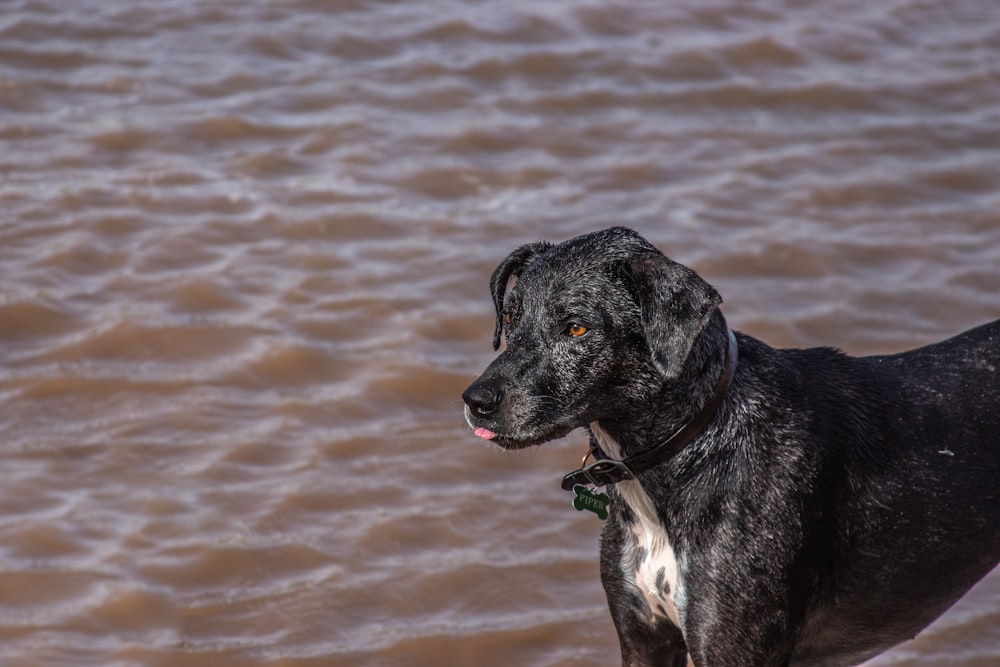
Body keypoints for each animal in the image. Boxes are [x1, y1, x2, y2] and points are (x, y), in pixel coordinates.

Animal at [462, 228, 1000, 667]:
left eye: (576, 327)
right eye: (510, 318)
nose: (475, 402)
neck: (688, 448)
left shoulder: (734, 647)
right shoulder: (644, 640)